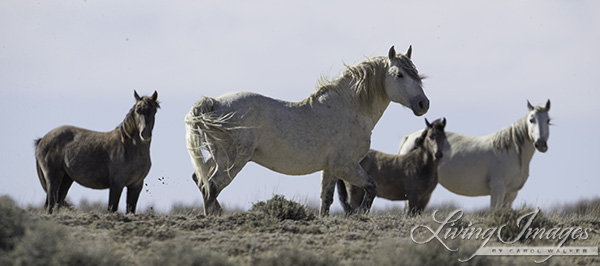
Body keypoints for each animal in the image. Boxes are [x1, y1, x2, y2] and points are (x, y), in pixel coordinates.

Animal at [185, 45, 428, 216]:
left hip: (219, 158)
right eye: (400, 75)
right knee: (212, 186)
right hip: (233, 161)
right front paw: (359, 215)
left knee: (201, 180)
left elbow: (326, 200)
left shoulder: (330, 168)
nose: (423, 104)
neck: (348, 108)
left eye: (417, 74)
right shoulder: (345, 165)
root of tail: (214, 102)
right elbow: (371, 188)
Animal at [400, 101, 552, 209]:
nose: (540, 144)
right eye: (531, 120)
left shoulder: (511, 193)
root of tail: (409, 138)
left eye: (548, 121)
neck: (512, 152)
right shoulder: (498, 190)